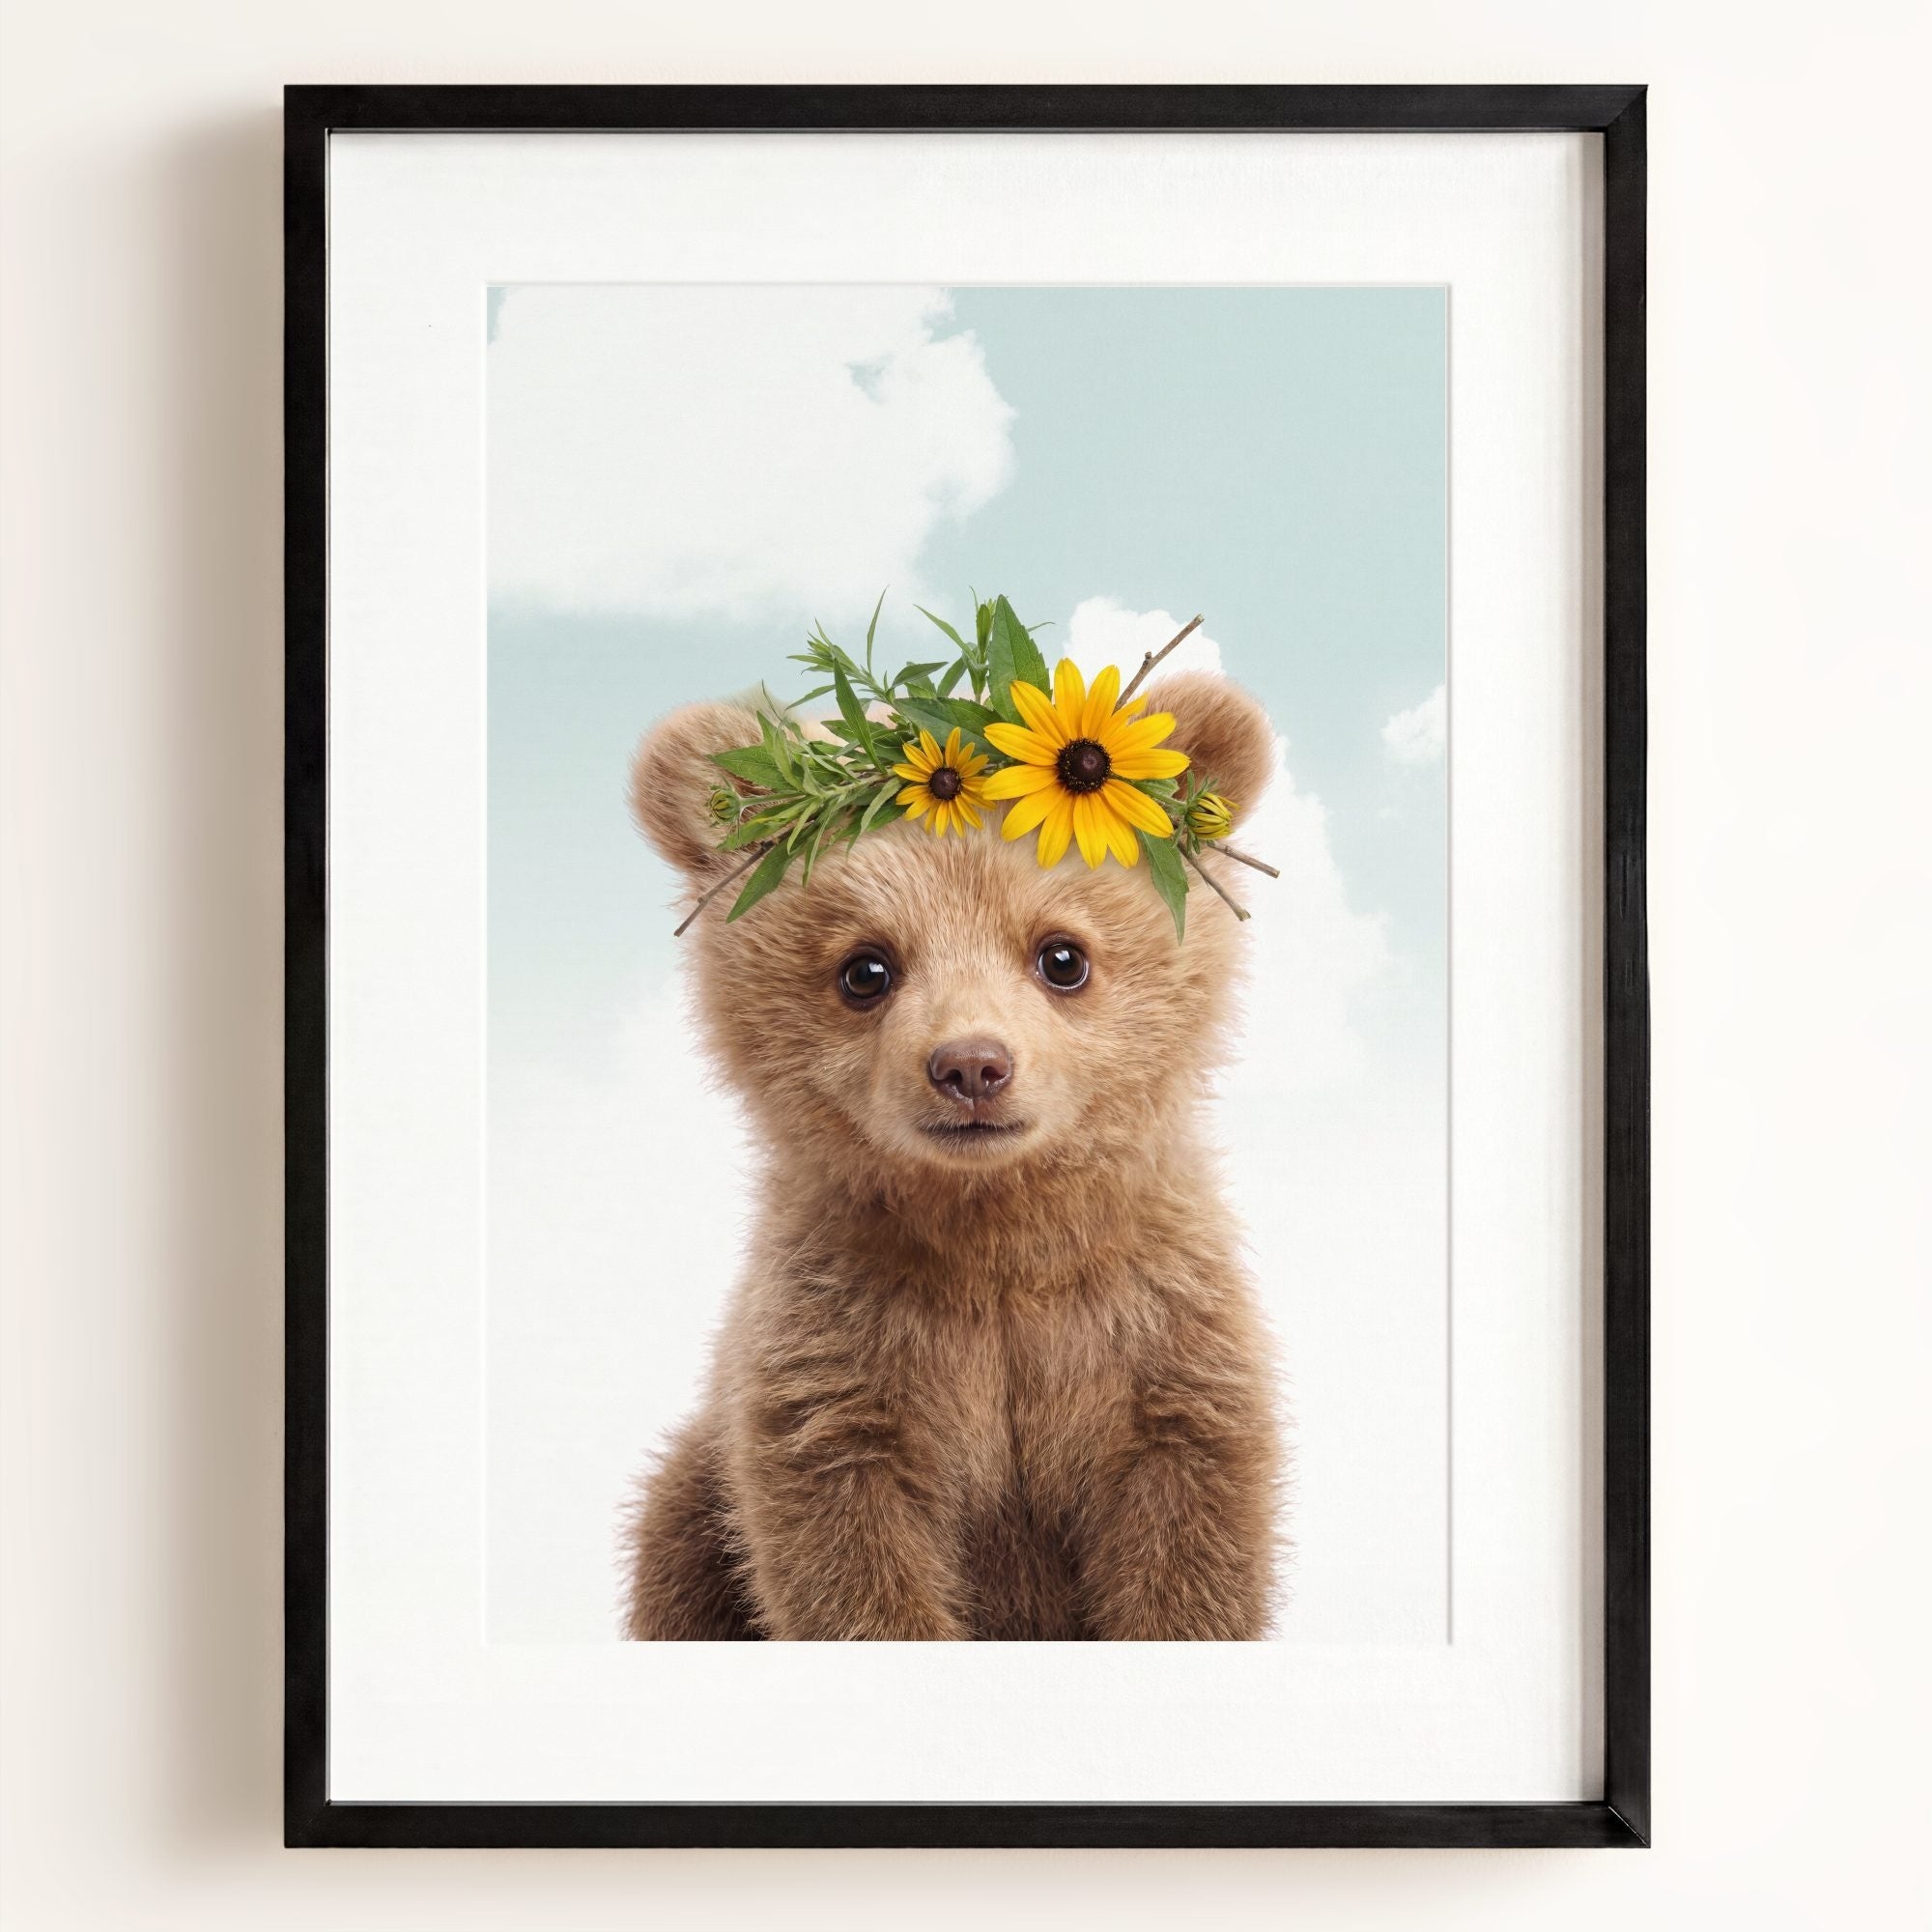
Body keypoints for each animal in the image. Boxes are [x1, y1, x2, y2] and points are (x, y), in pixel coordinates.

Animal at [620, 670, 1284, 1640]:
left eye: (1062, 955)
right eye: (865, 968)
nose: (971, 1065)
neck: (995, 1238)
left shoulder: (1157, 1341)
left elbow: (1189, 1548)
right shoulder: (839, 1362)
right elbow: (848, 1562)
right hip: (693, 1503)